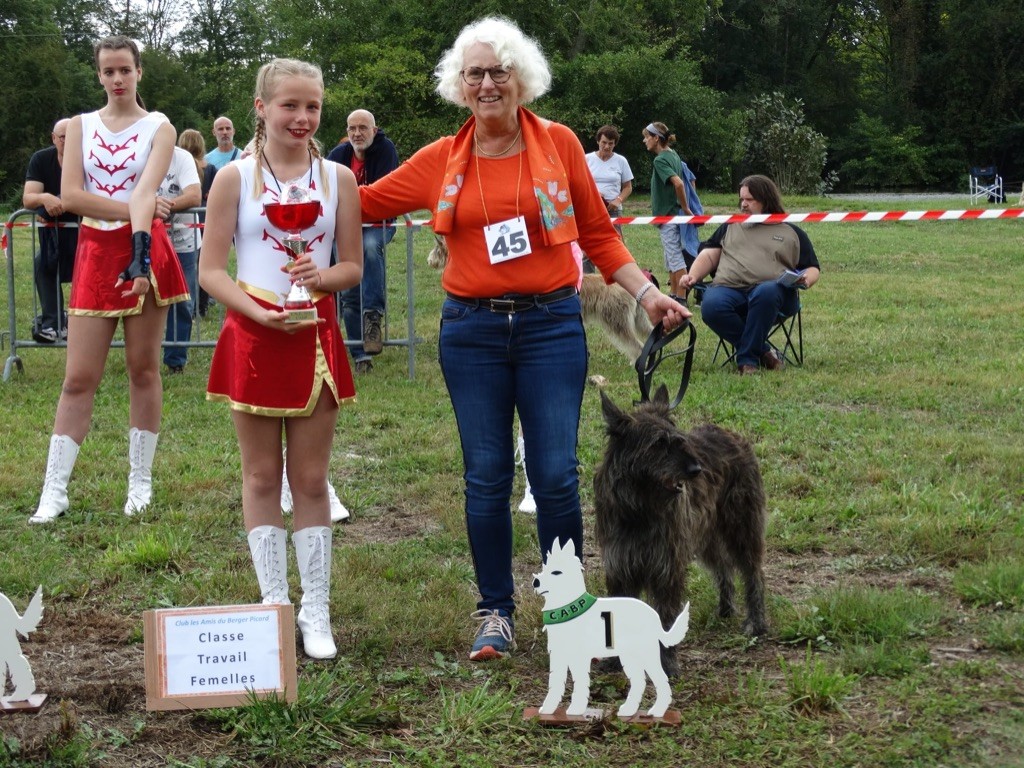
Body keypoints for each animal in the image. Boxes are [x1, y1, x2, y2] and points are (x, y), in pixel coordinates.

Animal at [593, 387, 770, 675]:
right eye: (658, 444)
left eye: (678, 441)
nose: (695, 470)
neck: (639, 509)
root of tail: (733, 434)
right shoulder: (620, 569)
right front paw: (615, 660)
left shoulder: (668, 567)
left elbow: (666, 618)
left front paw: (667, 663)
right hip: (706, 537)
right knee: (723, 567)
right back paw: (725, 608)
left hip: (742, 530)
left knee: (753, 573)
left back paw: (756, 622)